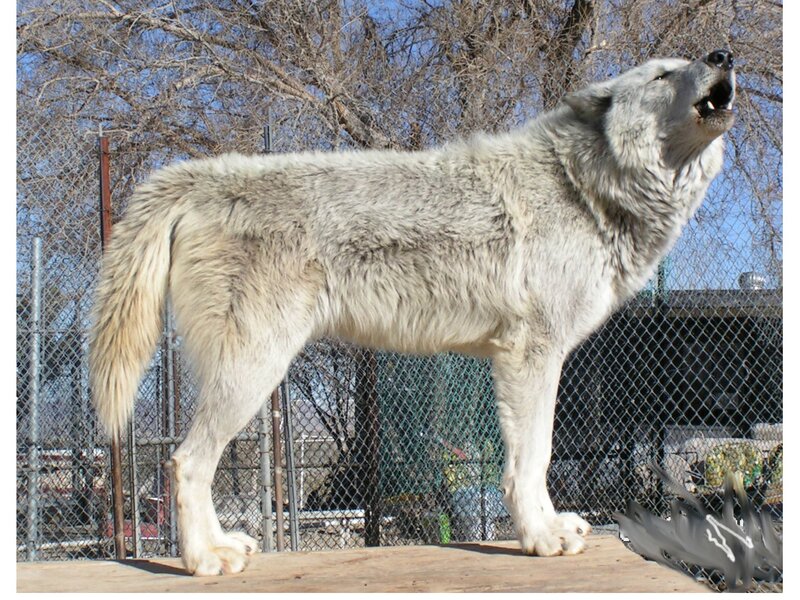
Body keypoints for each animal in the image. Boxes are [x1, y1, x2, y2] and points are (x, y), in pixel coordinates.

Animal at [90, 50, 736, 575]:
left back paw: (224, 544)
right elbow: (534, 459)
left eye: (688, 63)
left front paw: (549, 527)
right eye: (662, 75)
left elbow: (532, 459)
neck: (584, 187)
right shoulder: (532, 355)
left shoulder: (520, 358)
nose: (722, 56)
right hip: (253, 373)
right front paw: (540, 537)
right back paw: (204, 560)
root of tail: (199, 177)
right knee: (184, 462)